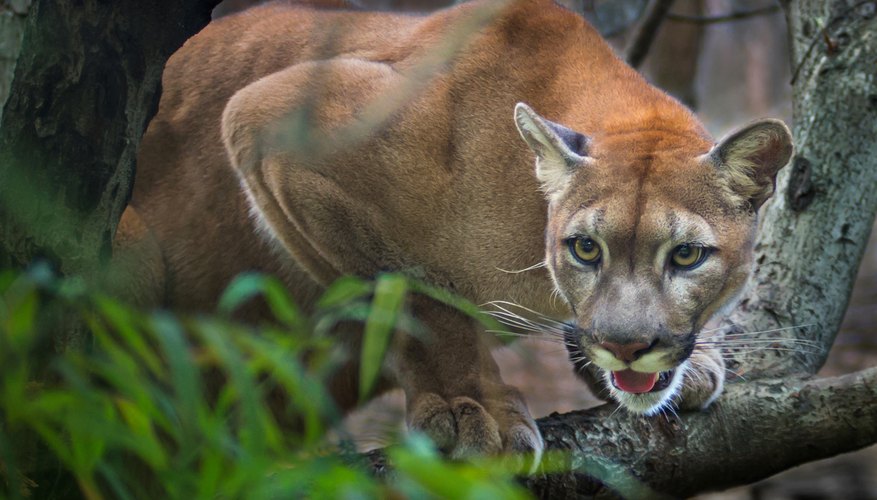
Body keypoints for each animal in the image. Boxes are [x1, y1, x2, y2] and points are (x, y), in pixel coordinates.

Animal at [116, 0, 792, 460]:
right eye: (585, 248)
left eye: (686, 256)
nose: (627, 346)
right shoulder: (271, 124)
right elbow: (414, 297)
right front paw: (472, 408)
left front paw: (691, 362)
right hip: (133, 252)